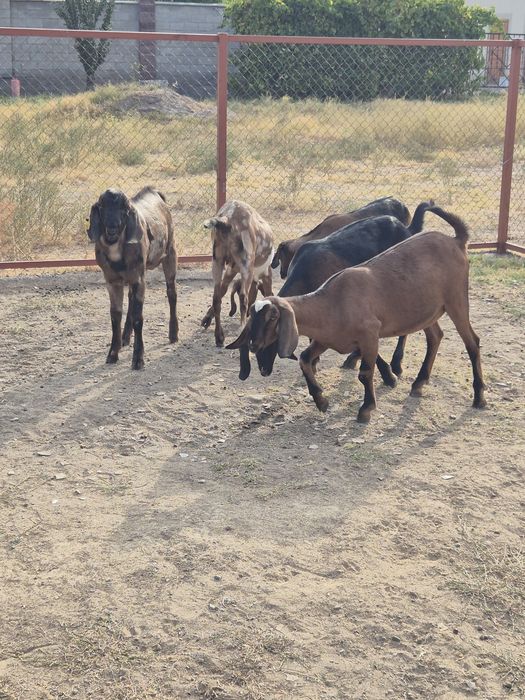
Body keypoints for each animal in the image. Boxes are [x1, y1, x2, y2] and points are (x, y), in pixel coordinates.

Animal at [87, 186, 178, 370]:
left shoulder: (139, 278)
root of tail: (156, 193)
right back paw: (125, 338)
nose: (112, 227)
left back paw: (173, 334)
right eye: (102, 206)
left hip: (170, 253)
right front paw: (113, 354)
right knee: (130, 299)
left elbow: (138, 317)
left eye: (125, 208)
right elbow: (115, 315)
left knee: (171, 292)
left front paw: (138, 359)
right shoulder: (112, 281)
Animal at [200, 200, 274, 347]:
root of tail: (227, 219)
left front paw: (206, 319)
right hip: (247, 264)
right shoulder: (265, 274)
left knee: (216, 297)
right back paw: (242, 330)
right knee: (243, 297)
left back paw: (219, 337)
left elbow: (222, 291)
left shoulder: (231, 269)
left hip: (217, 260)